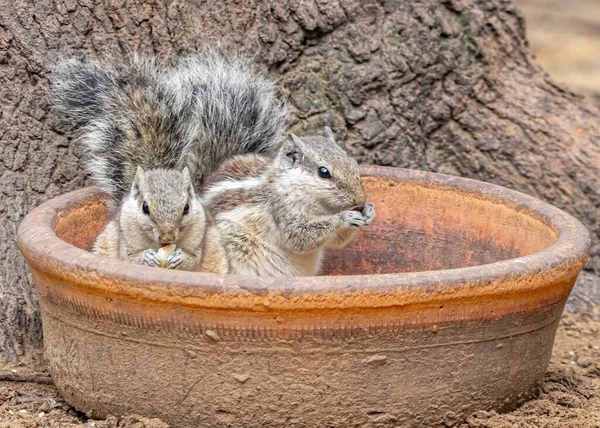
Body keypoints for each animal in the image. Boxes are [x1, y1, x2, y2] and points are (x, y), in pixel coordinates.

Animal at [49, 51, 288, 270]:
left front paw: (179, 257)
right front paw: (146, 257)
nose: (167, 238)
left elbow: (193, 260)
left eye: (186, 208)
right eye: (145, 208)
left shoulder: (201, 235)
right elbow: (129, 257)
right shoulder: (125, 237)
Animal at [200, 125, 376, 276]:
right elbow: (299, 236)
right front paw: (345, 217)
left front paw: (369, 211)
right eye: (323, 172)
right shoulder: (282, 209)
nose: (360, 199)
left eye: (352, 161)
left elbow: (337, 241)